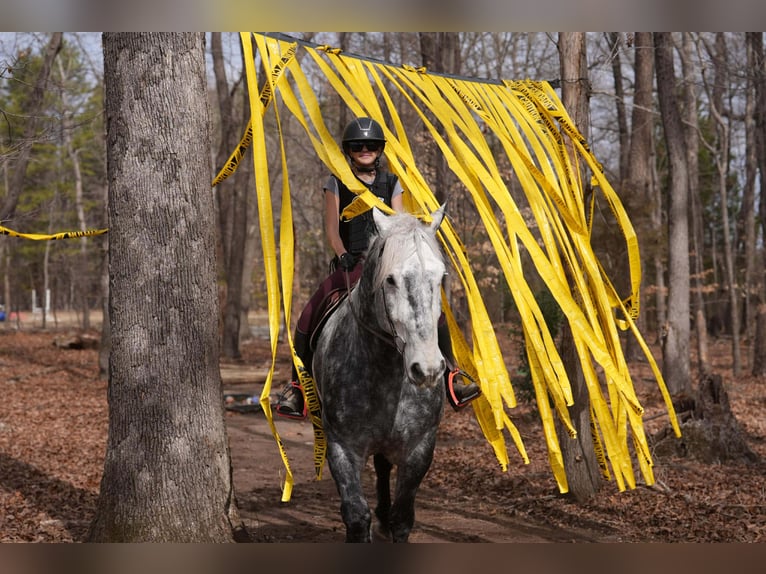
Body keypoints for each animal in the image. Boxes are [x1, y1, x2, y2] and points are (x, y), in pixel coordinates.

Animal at [312, 205, 448, 543]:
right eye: (391, 280)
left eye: (440, 277)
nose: (427, 369)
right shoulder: (342, 448)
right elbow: (356, 516)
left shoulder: (419, 448)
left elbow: (402, 518)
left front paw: (390, 519)